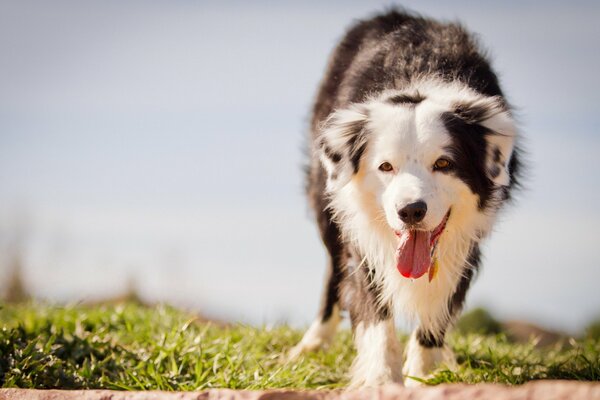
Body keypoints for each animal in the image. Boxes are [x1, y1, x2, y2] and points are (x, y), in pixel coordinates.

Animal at [290, 8, 520, 388]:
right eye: (386, 166)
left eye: (443, 164)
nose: (411, 211)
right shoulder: (361, 230)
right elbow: (372, 303)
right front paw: (382, 380)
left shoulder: (468, 234)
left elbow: (440, 302)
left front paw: (425, 375)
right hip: (324, 199)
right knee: (333, 272)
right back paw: (312, 343)